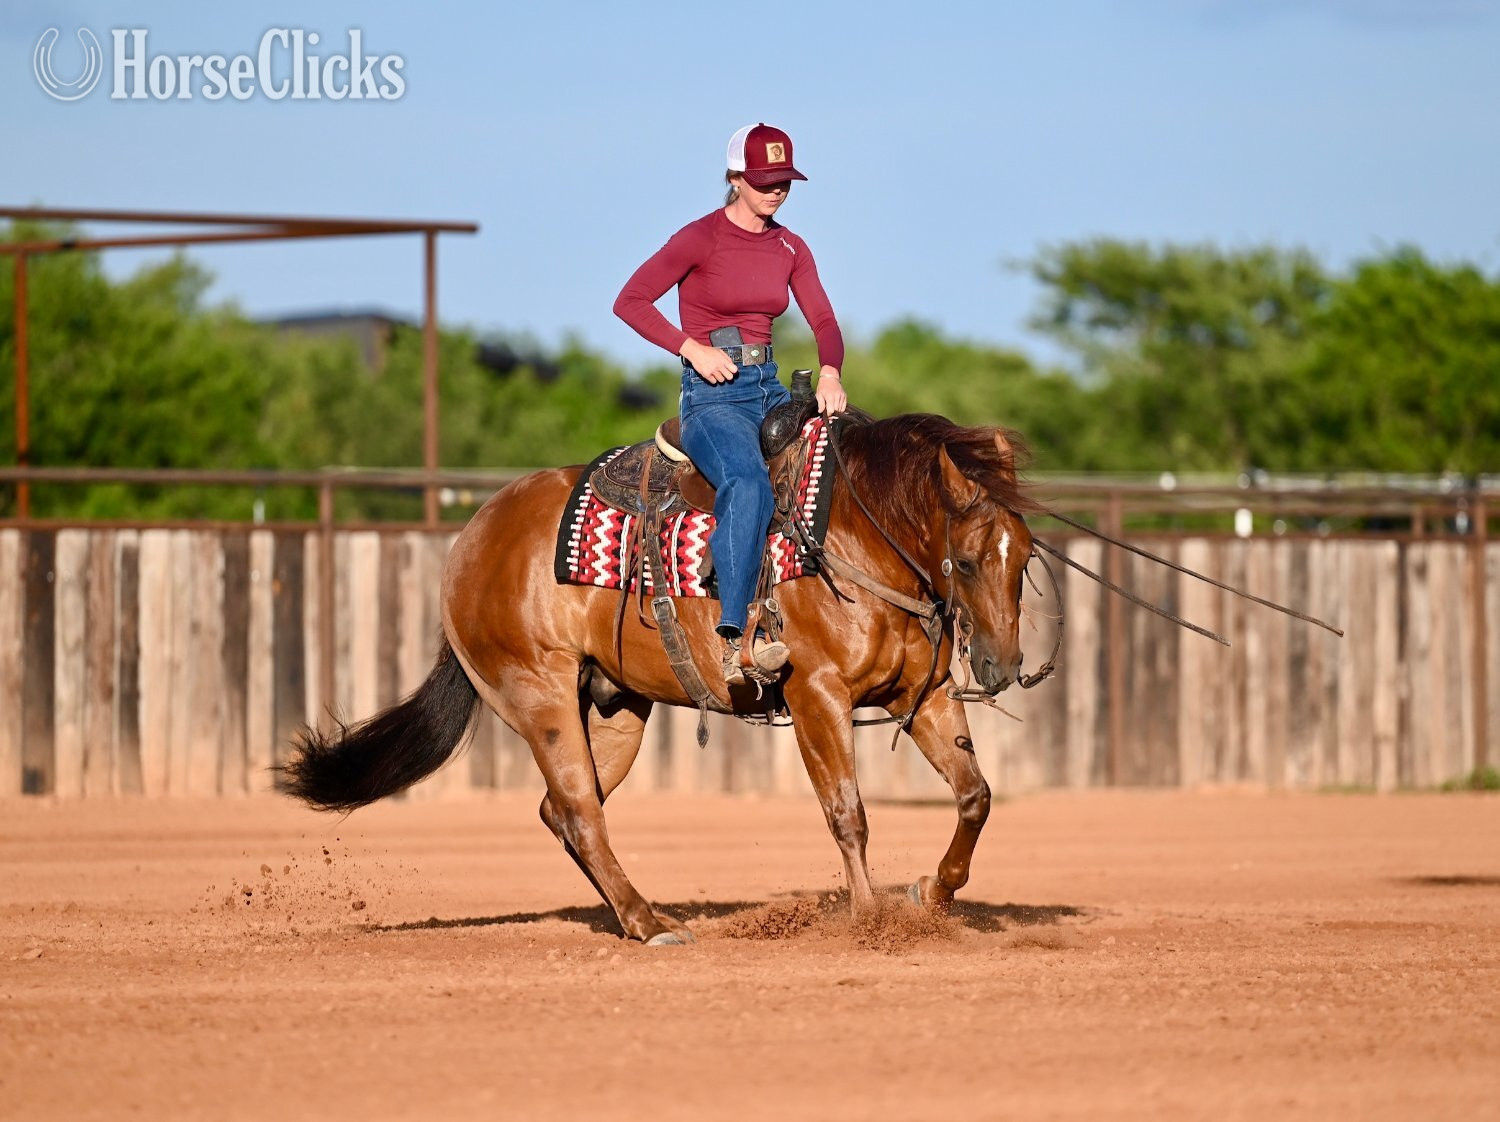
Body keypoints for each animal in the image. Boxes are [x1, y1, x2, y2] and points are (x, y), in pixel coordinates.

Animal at [281, 412, 1043, 945]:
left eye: (1026, 554)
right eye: (967, 561)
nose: (1001, 665)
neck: (849, 536)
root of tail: (472, 539)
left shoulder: (924, 696)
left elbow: (975, 795)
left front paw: (932, 894)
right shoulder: (818, 696)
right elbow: (847, 812)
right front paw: (868, 919)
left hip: (617, 708)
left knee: (563, 810)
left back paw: (635, 915)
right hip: (541, 694)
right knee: (579, 811)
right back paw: (650, 925)